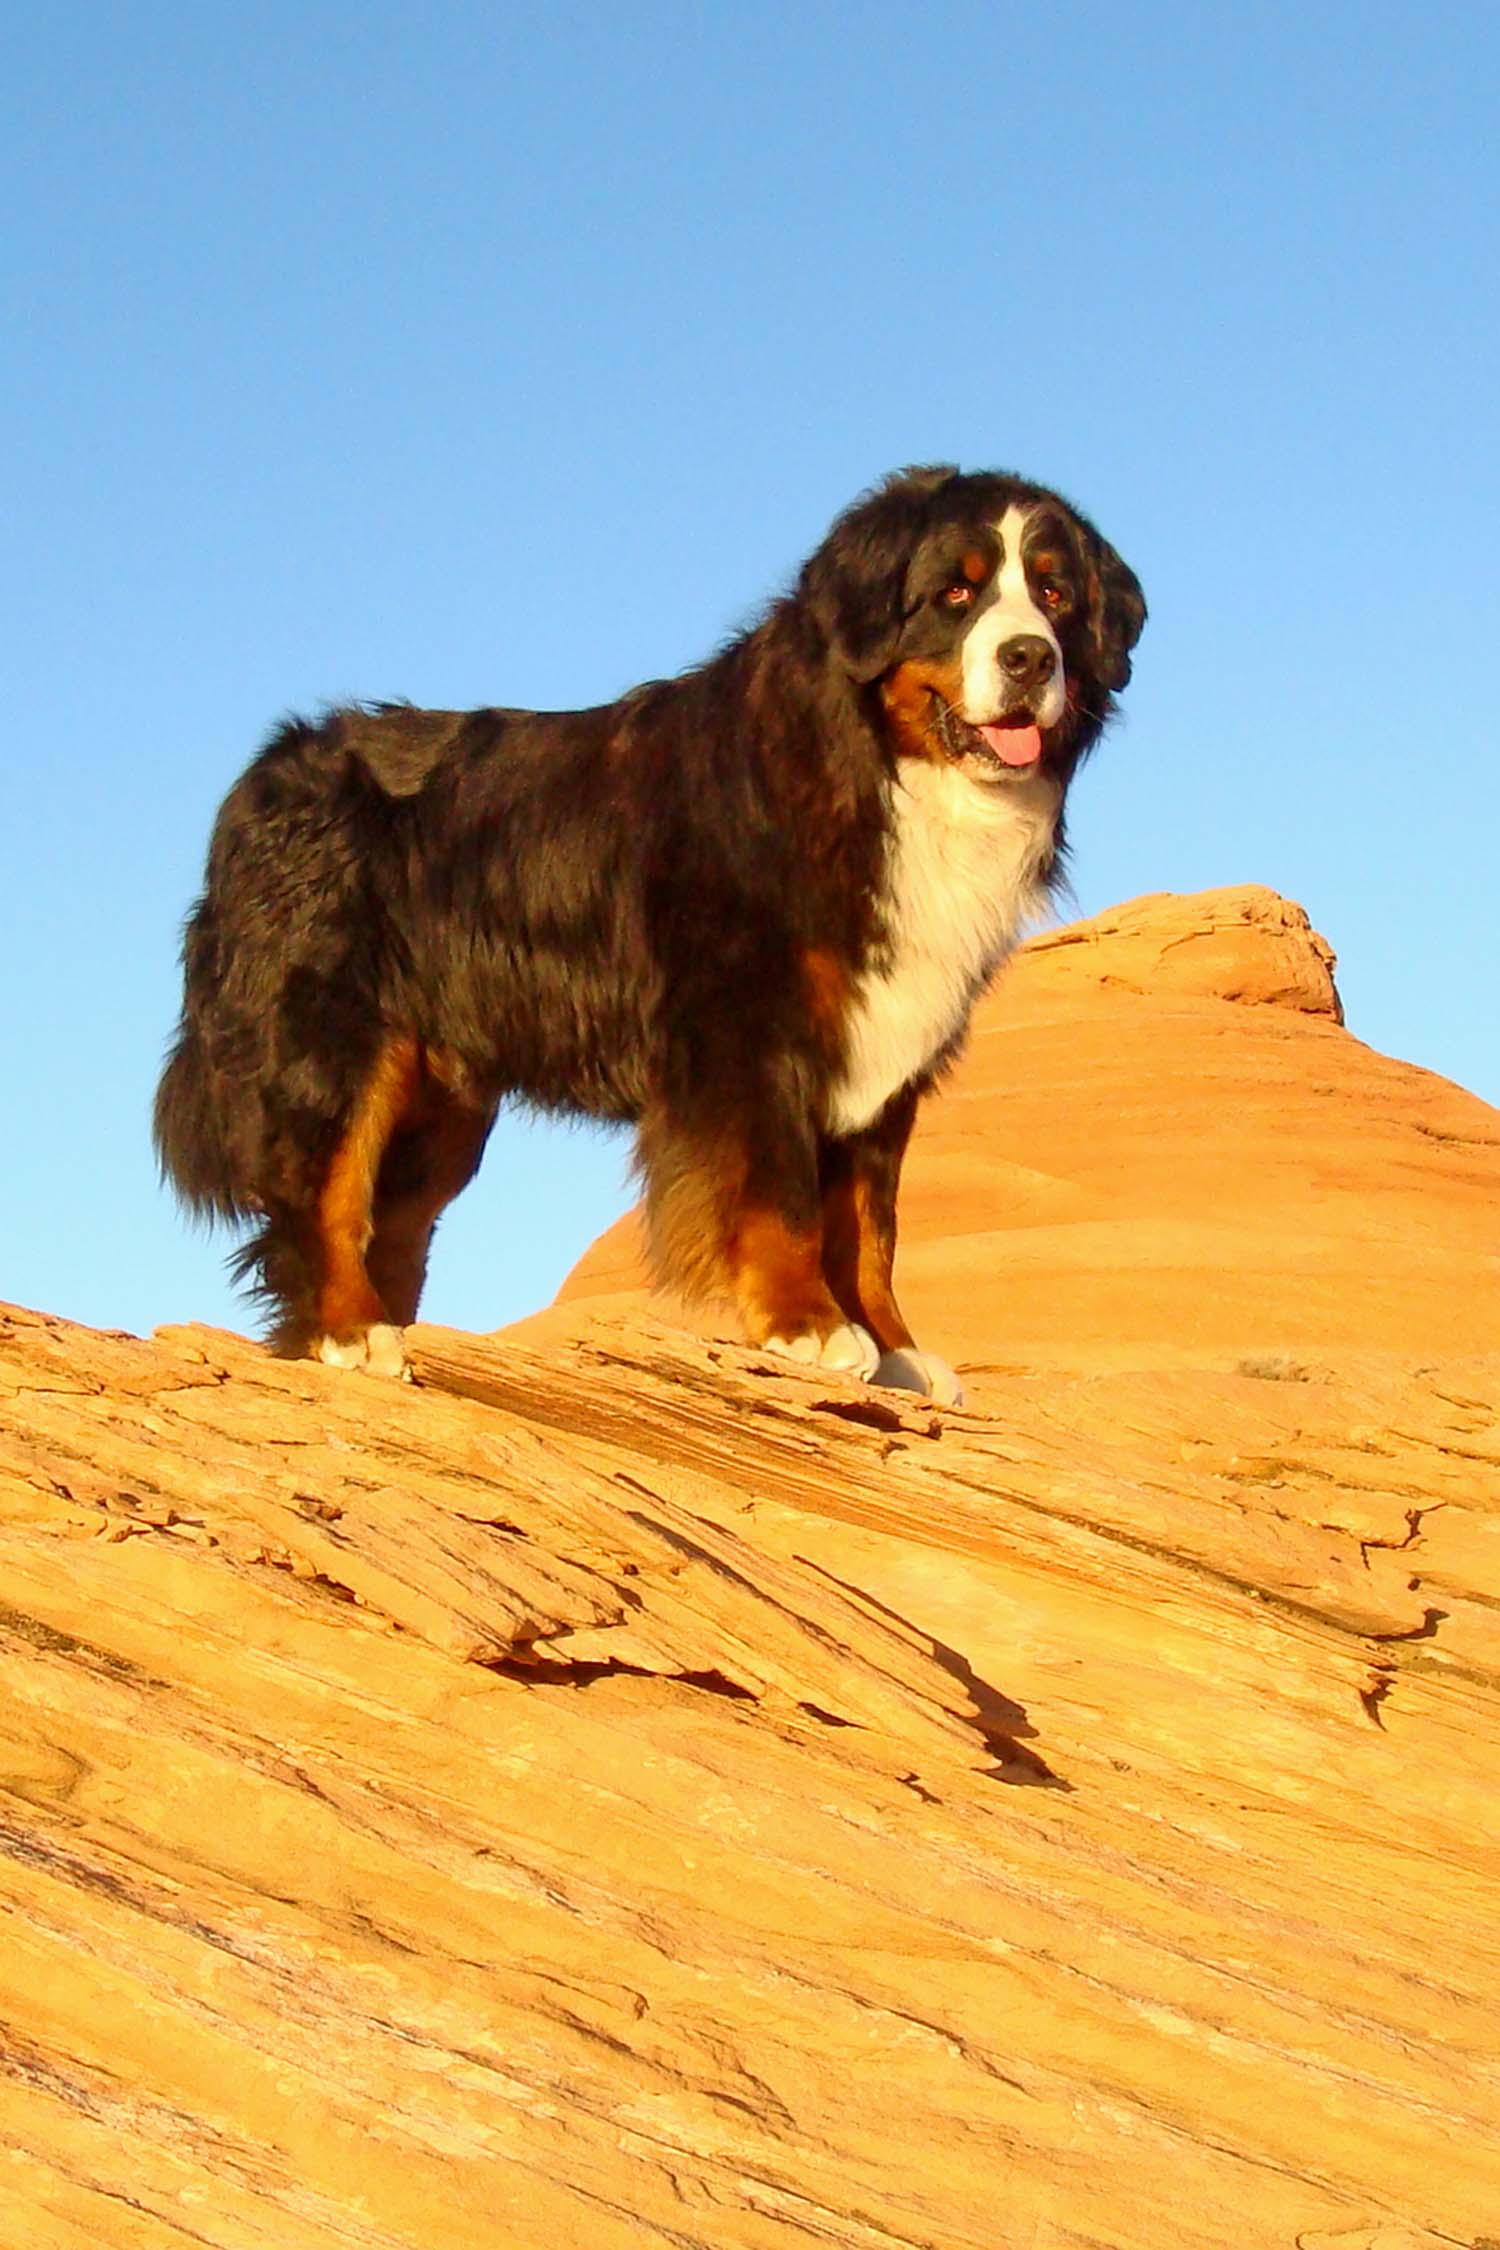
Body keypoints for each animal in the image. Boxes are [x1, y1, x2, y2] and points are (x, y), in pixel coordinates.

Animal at [155, 465, 1144, 1399]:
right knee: (322, 1195)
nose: (1030, 658)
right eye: (955, 592)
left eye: (1055, 594)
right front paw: (810, 1328)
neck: (881, 771)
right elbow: (784, 1197)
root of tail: (267, 772)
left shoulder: (887, 1039)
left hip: (442, 1105)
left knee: (391, 1223)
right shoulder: (752, 1031)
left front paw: (897, 1349)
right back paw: (349, 1333)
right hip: (342, 1044)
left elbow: (870, 1227)